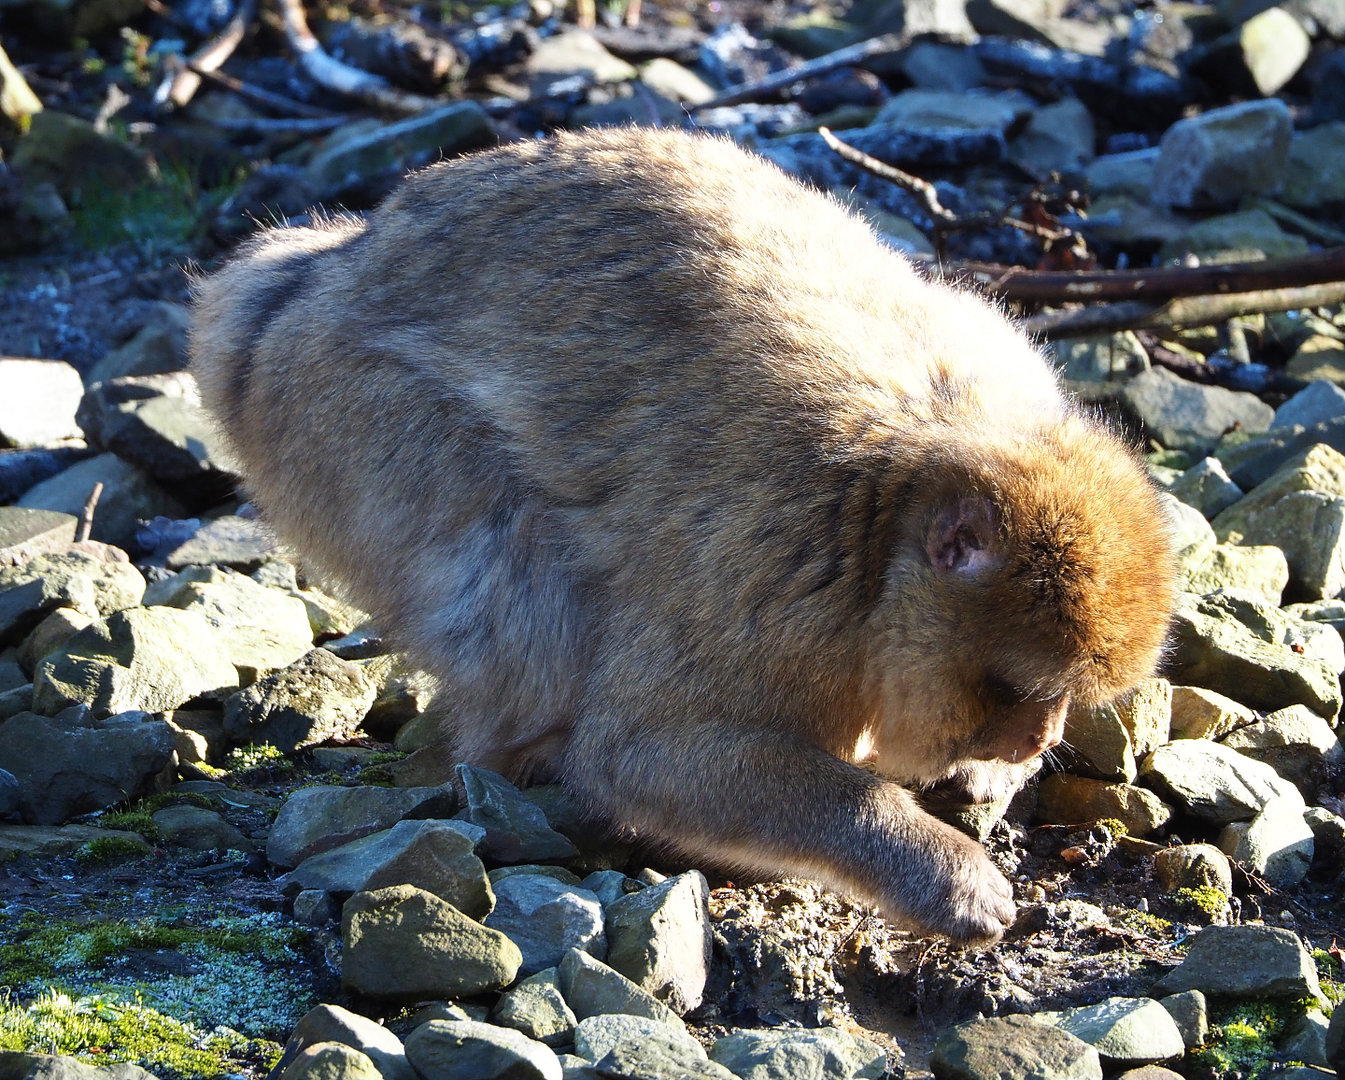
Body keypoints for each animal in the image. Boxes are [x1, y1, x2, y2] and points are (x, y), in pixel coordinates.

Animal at [190, 127, 1176, 945]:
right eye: (1015, 689)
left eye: (1060, 700)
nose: (1034, 740)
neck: (889, 510)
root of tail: (320, 270)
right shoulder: (768, 571)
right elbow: (639, 754)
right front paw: (935, 866)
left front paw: (982, 786)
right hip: (341, 413)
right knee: (515, 565)